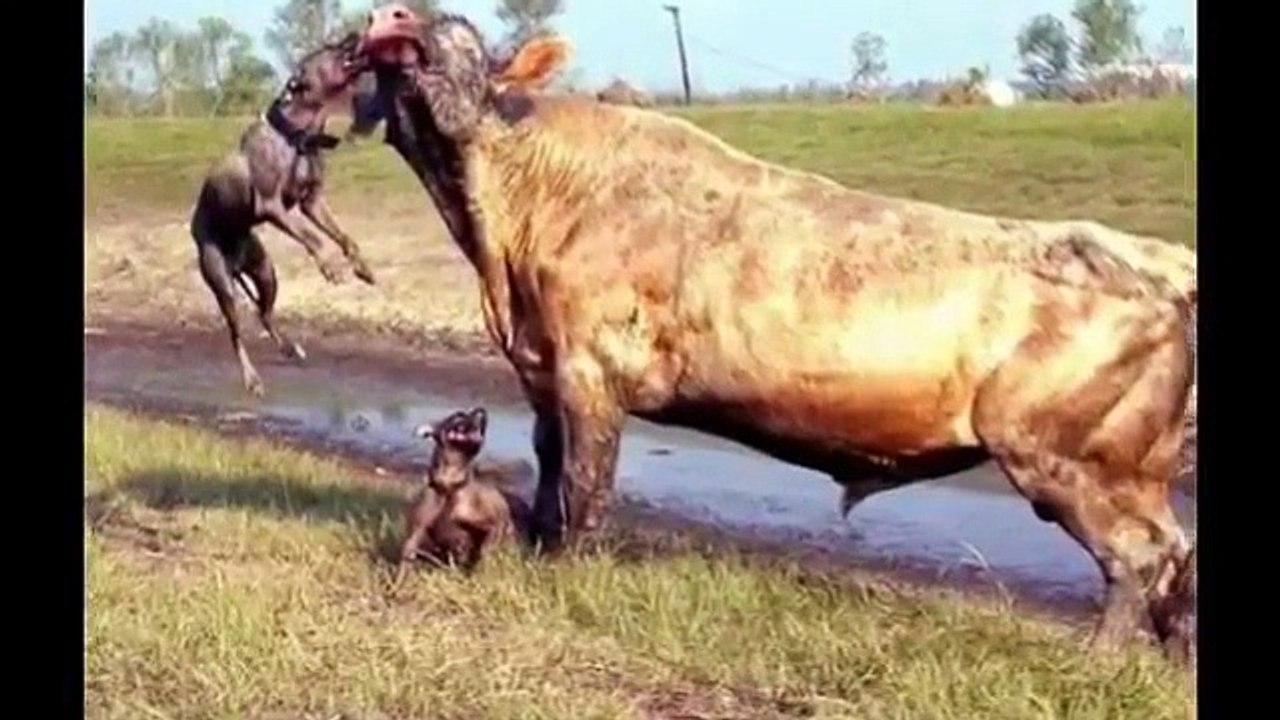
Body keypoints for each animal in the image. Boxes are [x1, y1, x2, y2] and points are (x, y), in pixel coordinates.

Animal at [354, 5, 1198, 664]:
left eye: (460, 33)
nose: (394, 17)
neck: (509, 227)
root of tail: (1148, 255)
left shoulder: (590, 371)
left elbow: (585, 489)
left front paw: (564, 576)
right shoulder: (541, 370)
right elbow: (548, 470)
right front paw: (531, 551)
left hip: (1063, 454)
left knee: (1139, 554)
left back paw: (1101, 661)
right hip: (1133, 465)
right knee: (1177, 553)